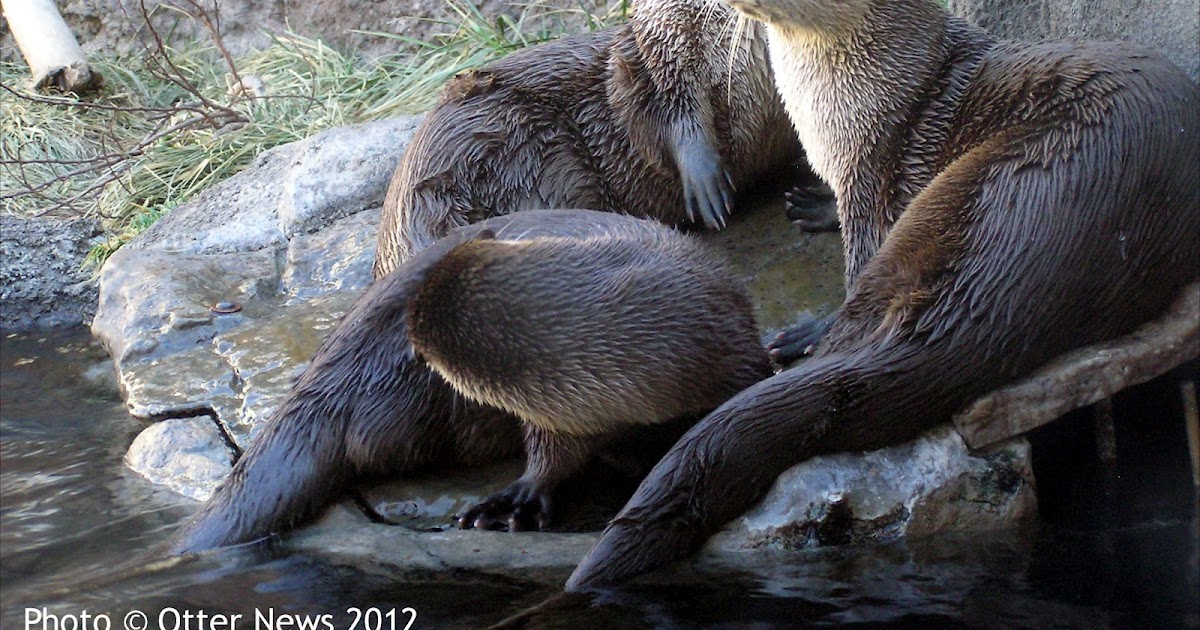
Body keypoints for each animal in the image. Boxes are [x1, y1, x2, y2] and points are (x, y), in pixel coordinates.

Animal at [565, 0, 1199, 589]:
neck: (846, 113)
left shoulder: (875, 171)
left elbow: (862, 243)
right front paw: (815, 204)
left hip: (984, 184)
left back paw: (798, 344)